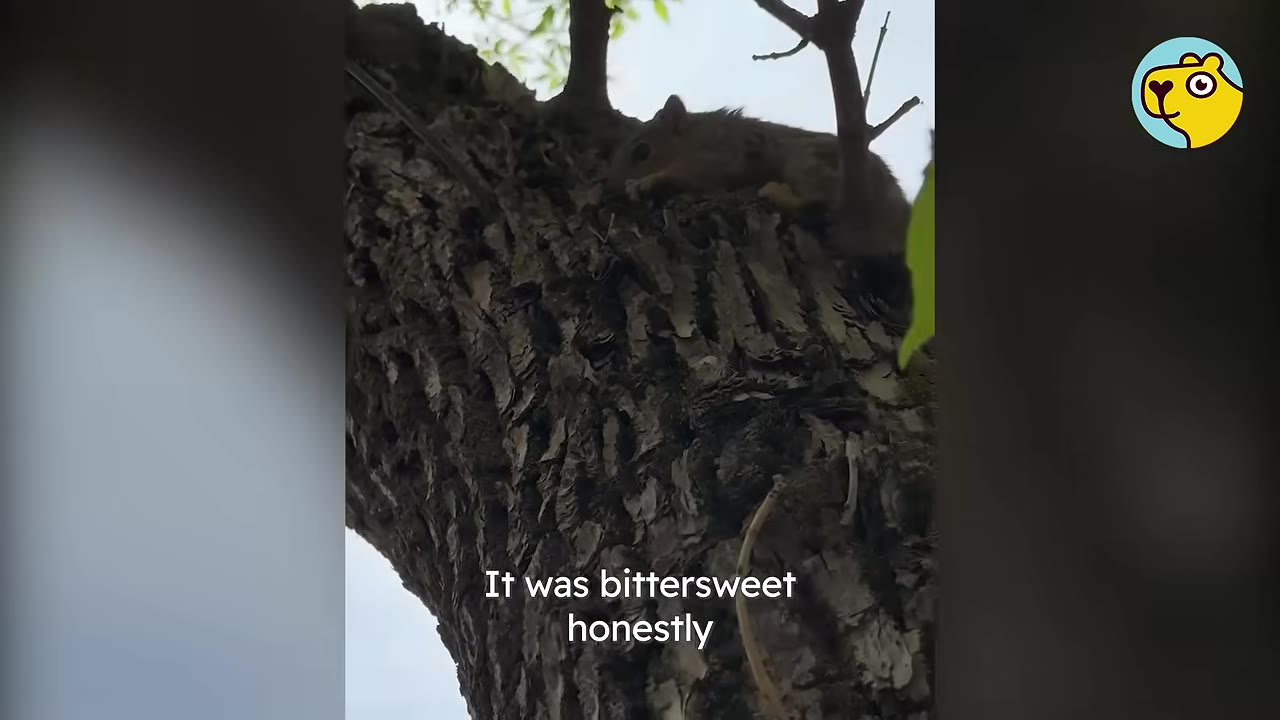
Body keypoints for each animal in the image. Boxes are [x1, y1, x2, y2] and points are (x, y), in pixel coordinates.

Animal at [606, 94, 912, 258]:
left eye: (642, 152)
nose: (613, 189)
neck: (694, 137)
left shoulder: (723, 153)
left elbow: (696, 173)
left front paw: (646, 182)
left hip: (809, 162)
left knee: (817, 203)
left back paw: (776, 192)